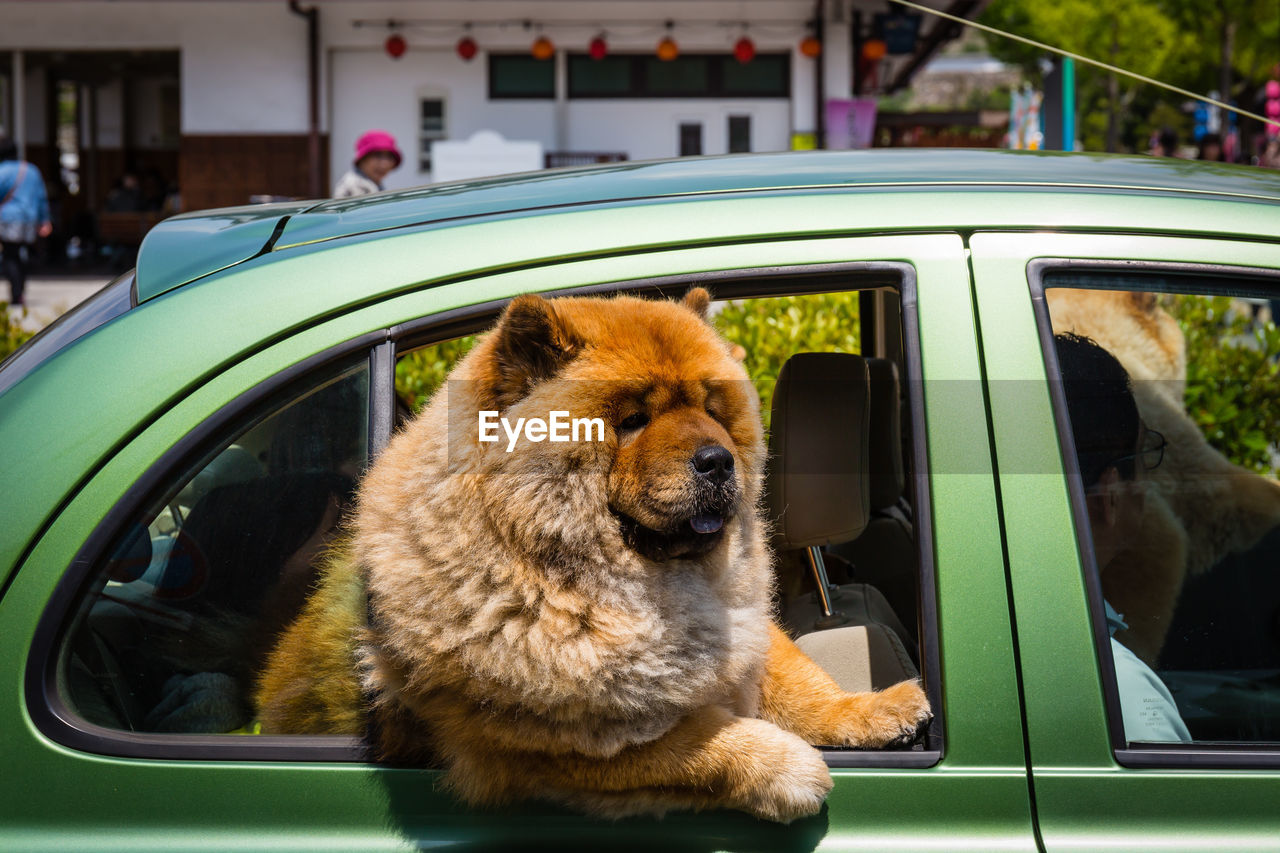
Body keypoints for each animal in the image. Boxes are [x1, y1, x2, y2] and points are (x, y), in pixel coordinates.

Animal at [254, 289, 931, 819]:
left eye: (712, 410)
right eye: (632, 419)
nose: (718, 460)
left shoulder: (747, 633)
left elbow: (802, 684)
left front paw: (877, 708)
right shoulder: (549, 750)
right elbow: (696, 744)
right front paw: (789, 767)